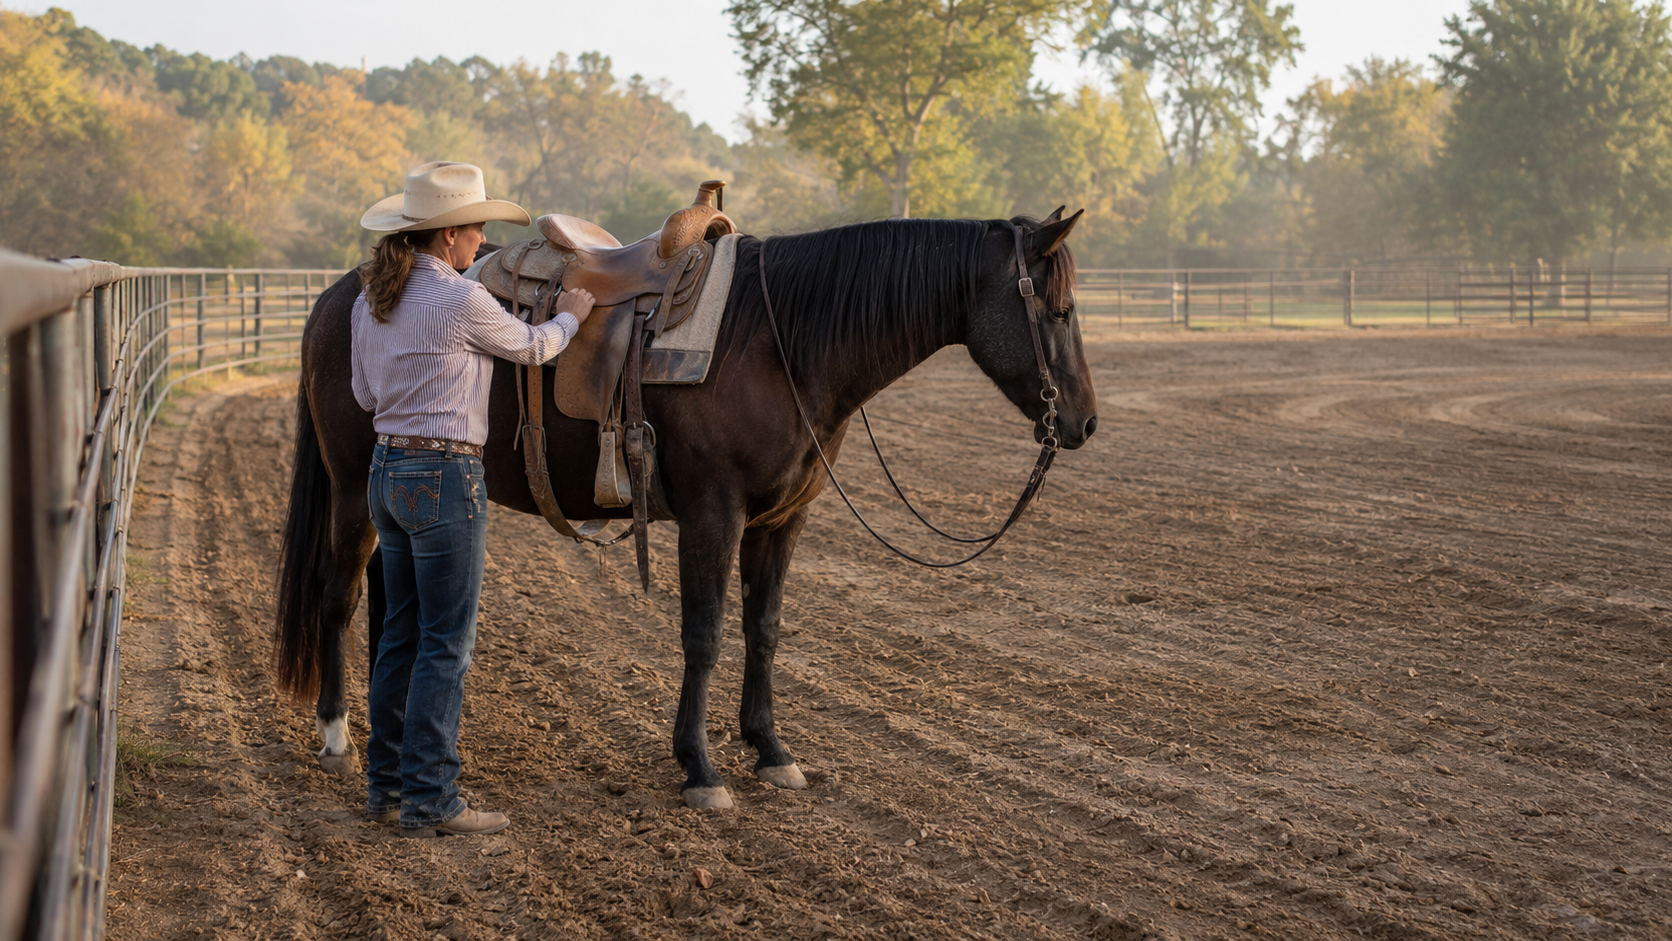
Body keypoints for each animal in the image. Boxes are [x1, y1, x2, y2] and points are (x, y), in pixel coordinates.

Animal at [274, 211, 1099, 809]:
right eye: (1058, 310)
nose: (1084, 423)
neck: (778, 342)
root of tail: (342, 294)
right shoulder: (713, 515)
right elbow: (703, 636)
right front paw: (700, 766)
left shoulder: (779, 522)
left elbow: (764, 630)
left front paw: (771, 750)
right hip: (350, 491)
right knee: (337, 597)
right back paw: (337, 733)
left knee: (390, 605)